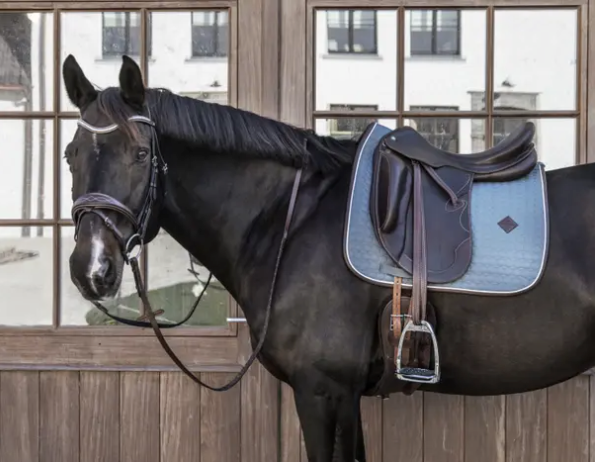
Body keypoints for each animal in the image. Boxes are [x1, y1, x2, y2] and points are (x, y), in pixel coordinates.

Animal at [62, 55, 595, 462]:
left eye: (139, 154)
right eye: (70, 154)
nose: (92, 268)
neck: (292, 219)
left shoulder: (321, 390)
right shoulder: (343, 395)